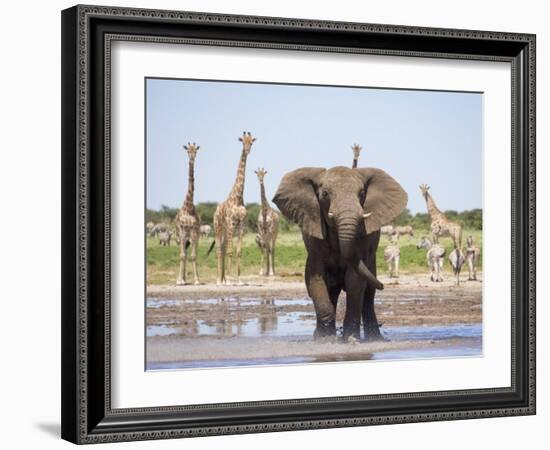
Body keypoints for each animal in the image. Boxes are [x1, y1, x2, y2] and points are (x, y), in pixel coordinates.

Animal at [213, 130, 256, 284]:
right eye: (243, 141)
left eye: (251, 142)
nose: (247, 150)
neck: (237, 198)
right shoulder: (231, 224)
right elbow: (230, 251)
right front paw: (229, 280)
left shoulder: (241, 225)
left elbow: (238, 251)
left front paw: (239, 279)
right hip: (218, 228)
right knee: (219, 250)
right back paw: (219, 280)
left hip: (226, 231)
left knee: (223, 249)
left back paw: (223, 278)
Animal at [274, 166, 408, 342]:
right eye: (325, 194)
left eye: (362, 193)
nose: (383, 285)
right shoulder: (315, 238)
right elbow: (315, 278)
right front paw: (325, 340)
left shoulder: (362, 239)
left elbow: (355, 280)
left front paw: (350, 339)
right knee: (333, 289)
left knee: (368, 294)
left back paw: (375, 339)